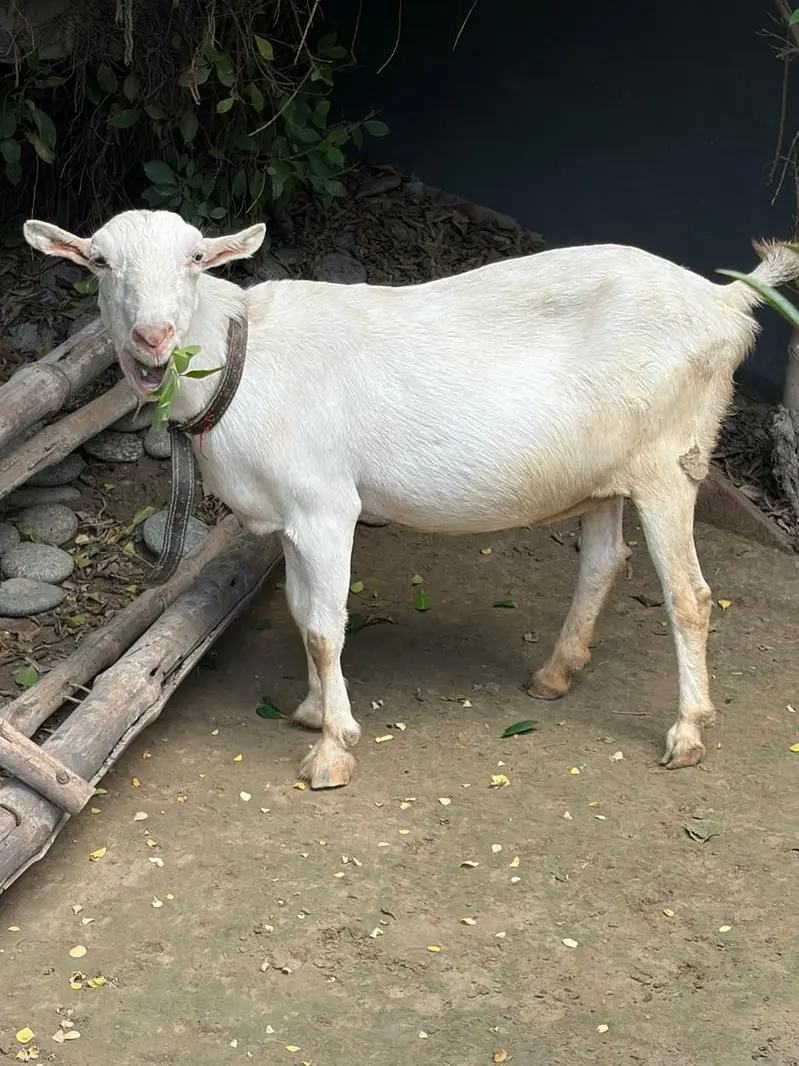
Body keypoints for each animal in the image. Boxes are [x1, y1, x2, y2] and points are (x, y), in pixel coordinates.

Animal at [23, 210, 799, 788]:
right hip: (604, 468)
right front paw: (312, 710)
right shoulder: (291, 519)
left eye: (194, 258)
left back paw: (686, 731)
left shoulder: (324, 506)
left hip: (670, 461)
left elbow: (324, 626)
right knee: (604, 562)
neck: (240, 360)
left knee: (689, 595)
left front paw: (333, 749)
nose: (153, 337)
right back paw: (555, 674)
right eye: (98, 262)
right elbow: (302, 611)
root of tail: (724, 302)